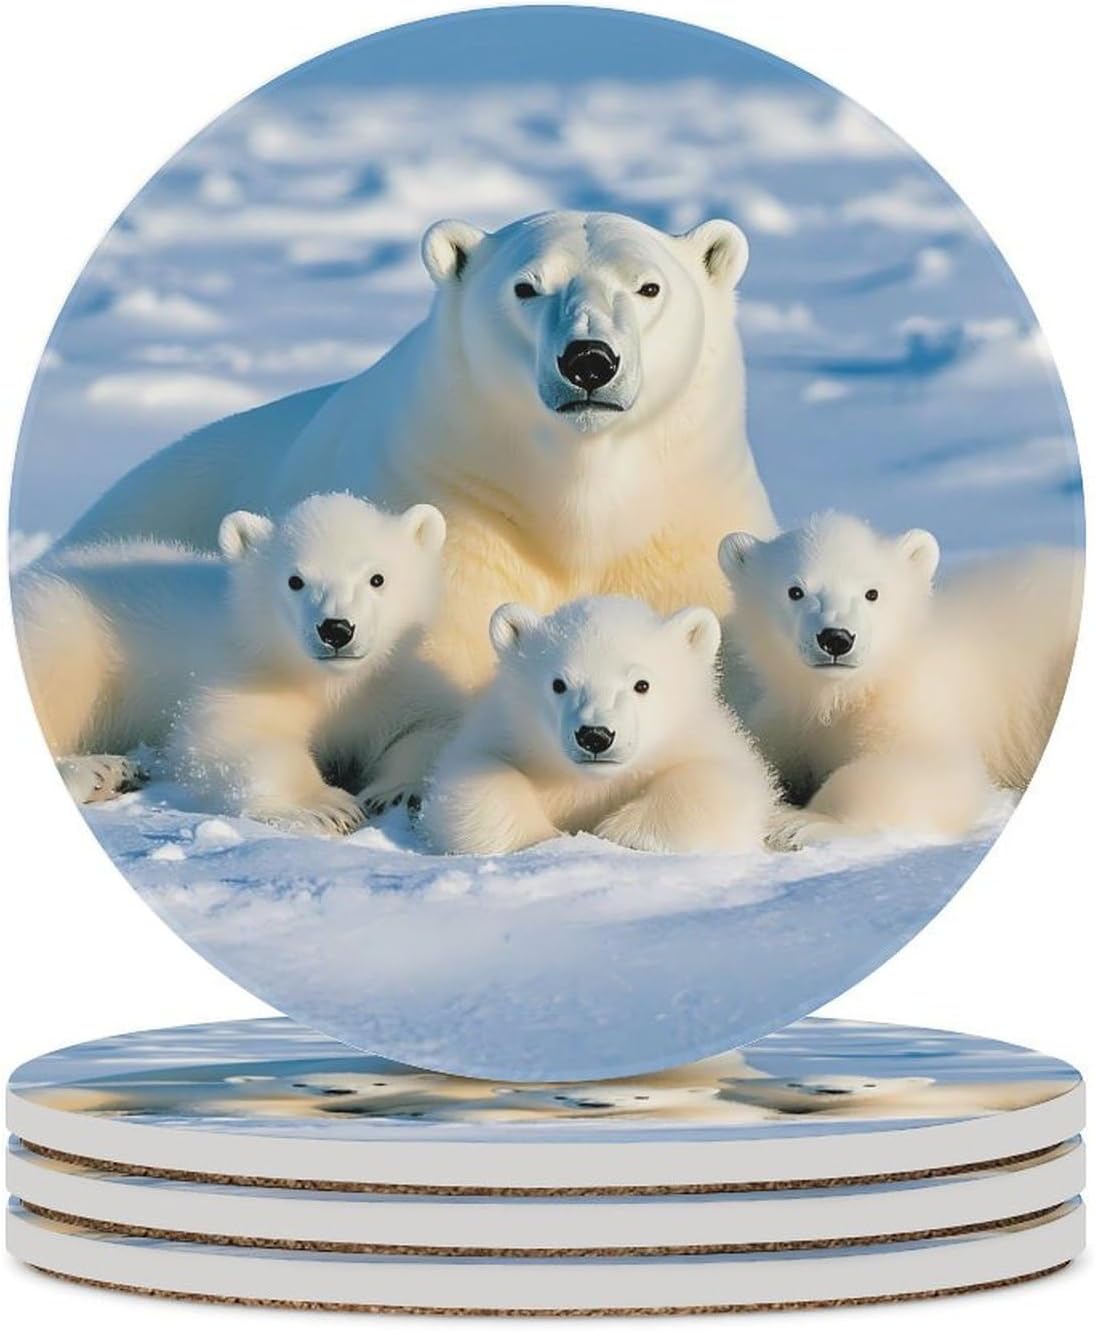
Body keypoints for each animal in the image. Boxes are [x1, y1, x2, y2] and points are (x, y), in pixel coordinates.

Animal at [16, 493, 458, 832]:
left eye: (377, 578)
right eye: (294, 580)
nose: (335, 629)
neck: (325, 681)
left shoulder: (390, 682)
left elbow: (433, 724)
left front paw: (396, 792)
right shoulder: (246, 674)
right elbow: (235, 738)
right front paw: (326, 807)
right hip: (65, 627)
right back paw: (99, 772)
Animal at [64, 210, 777, 688]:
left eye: (648, 287)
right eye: (527, 286)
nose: (589, 360)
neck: (577, 495)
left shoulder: (686, 528)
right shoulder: (459, 508)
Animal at [421, 595, 778, 856]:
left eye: (641, 684)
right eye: (559, 684)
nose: (595, 735)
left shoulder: (697, 738)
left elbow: (718, 783)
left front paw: (619, 833)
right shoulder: (505, 733)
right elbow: (474, 782)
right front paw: (543, 837)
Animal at [717, 512, 1082, 850]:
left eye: (872, 593)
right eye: (795, 591)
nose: (836, 638)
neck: (844, 694)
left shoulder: (915, 701)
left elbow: (926, 768)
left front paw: (799, 823)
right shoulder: (787, 719)